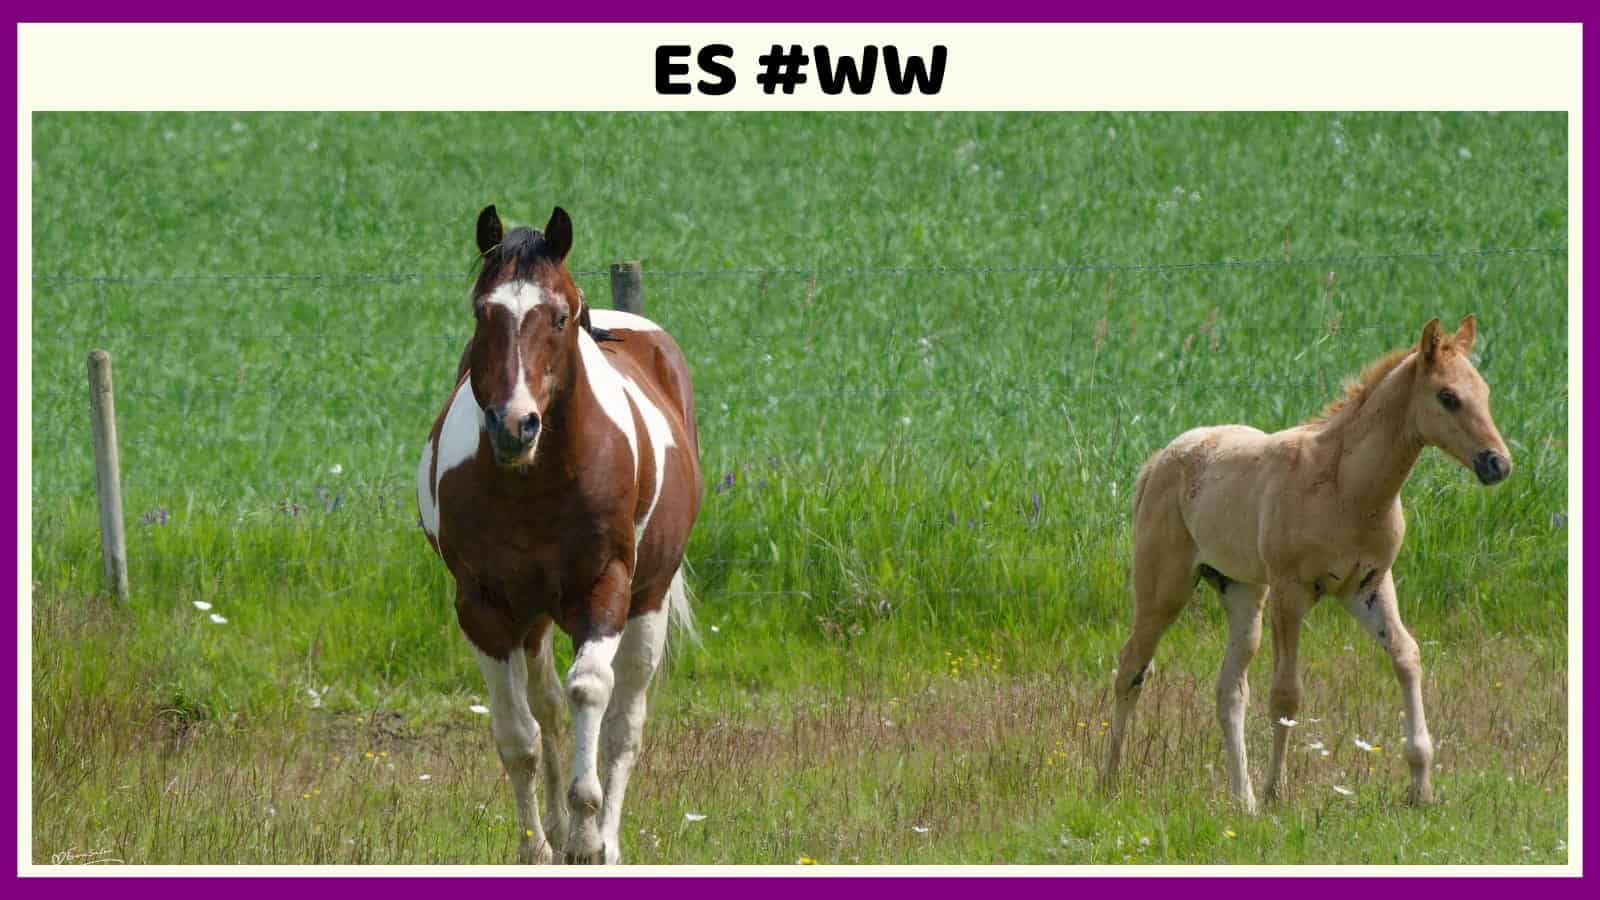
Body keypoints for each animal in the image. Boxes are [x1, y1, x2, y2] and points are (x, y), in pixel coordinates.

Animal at [416, 205, 702, 863]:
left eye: (560, 315)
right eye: (482, 312)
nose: (514, 426)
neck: (538, 482)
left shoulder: (606, 591)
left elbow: (590, 694)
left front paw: (589, 837)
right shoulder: (483, 607)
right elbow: (519, 736)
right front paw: (539, 848)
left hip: (646, 603)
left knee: (624, 723)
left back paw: (608, 841)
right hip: (535, 616)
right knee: (546, 707)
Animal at [1100, 315, 1511, 811]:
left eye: (1484, 391)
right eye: (1448, 397)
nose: (1497, 464)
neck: (1348, 489)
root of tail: (1160, 459)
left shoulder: (1368, 586)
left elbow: (1406, 655)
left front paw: (1420, 784)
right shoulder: (1290, 592)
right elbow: (1286, 693)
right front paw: (1277, 790)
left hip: (1242, 591)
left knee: (1229, 689)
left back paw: (1243, 800)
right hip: (1165, 589)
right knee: (1132, 669)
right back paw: (1111, 783)